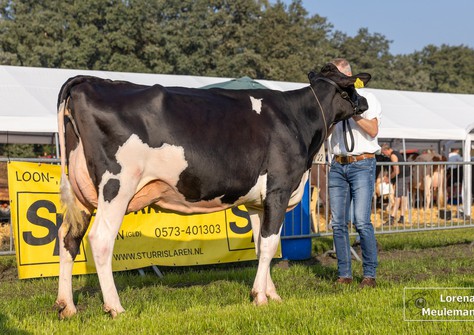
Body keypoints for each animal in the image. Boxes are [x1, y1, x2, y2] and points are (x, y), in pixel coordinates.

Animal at [52, 63, 370, 320]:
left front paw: (271, 293)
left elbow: (260, 246)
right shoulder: (279, 189)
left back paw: (67, 306)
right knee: (100, 240)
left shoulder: (258, 203)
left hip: (81, 193)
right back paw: (115, 307)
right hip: (116, 186)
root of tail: (87, 81)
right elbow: (270, 245)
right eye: (351, 86)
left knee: (68, 238)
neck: (297, 120)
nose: (365, 102)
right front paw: (261, 297)